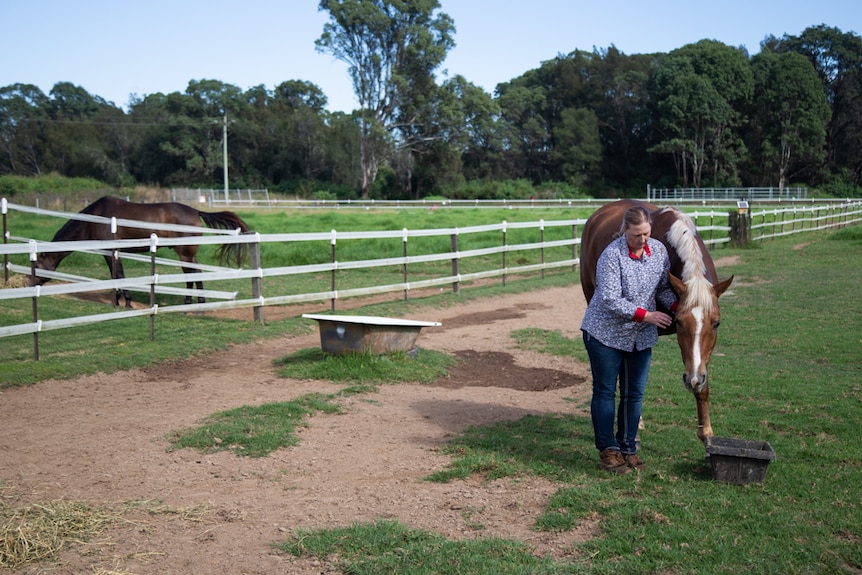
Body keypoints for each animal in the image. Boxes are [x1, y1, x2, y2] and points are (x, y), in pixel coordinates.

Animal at [27, 196, 250, 308]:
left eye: (38, 265)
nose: (28, 284)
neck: (95, 218)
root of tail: (196, 211)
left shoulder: (111, 252)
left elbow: (118, 275)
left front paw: (123, 302)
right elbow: (117, 276)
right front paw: (120, 300)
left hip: (184, 253)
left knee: (192, 274)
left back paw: (190, 303)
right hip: (189, 254)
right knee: (195, 274)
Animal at [580, 200, 736, 444]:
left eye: (716, 323)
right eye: (679, 322)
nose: (692, 380)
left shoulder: (701, 359)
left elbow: (703, 384)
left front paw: (706, 432)